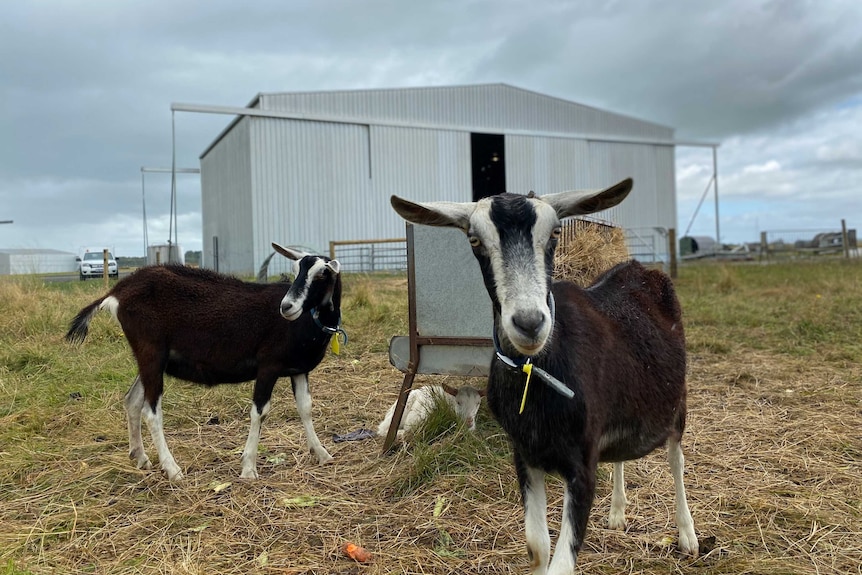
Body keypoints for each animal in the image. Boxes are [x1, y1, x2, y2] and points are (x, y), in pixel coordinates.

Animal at [66, 243, 342, 482]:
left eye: (322, 274)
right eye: (296, 271)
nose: (287, 306)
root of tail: (117, 292)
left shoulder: (299, 369)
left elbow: (305, 408)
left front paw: (322, 453)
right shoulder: (268, 366)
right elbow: (260, 412)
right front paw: (248, 468)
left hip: (150, 360)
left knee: (132, 401)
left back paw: (141, 458)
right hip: (151, 352)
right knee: (151, 412)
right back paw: (173, 469)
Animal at [394, 181, 700, 575]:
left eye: (555, 232)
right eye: (474, 239)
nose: (529, 322)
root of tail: (637, 266)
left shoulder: (582, 466)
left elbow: (561, 563)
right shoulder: (525, 455)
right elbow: (537, 547)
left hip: (676, 402)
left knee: (676, 459)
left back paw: (687, 535)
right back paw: (617, 512)